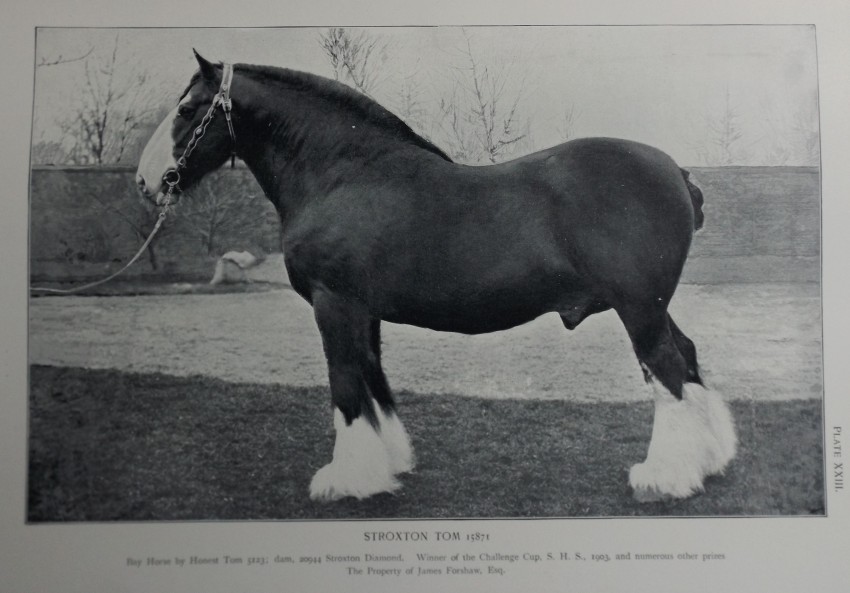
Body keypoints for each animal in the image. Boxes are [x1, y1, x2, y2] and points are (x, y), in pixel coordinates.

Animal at [136, 51, 737, 504]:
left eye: (188, 109)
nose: (146, 181)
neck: (340, 173)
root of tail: (674, 170)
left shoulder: (334, 304)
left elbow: (345, 385)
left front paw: (344, 480)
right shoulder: (362, 311)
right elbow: (373, 379)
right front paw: (388, 464)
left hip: (638, 307)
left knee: (665, 368)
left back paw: (665, 478)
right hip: (652, 305)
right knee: (686, 355)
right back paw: (710, 460)